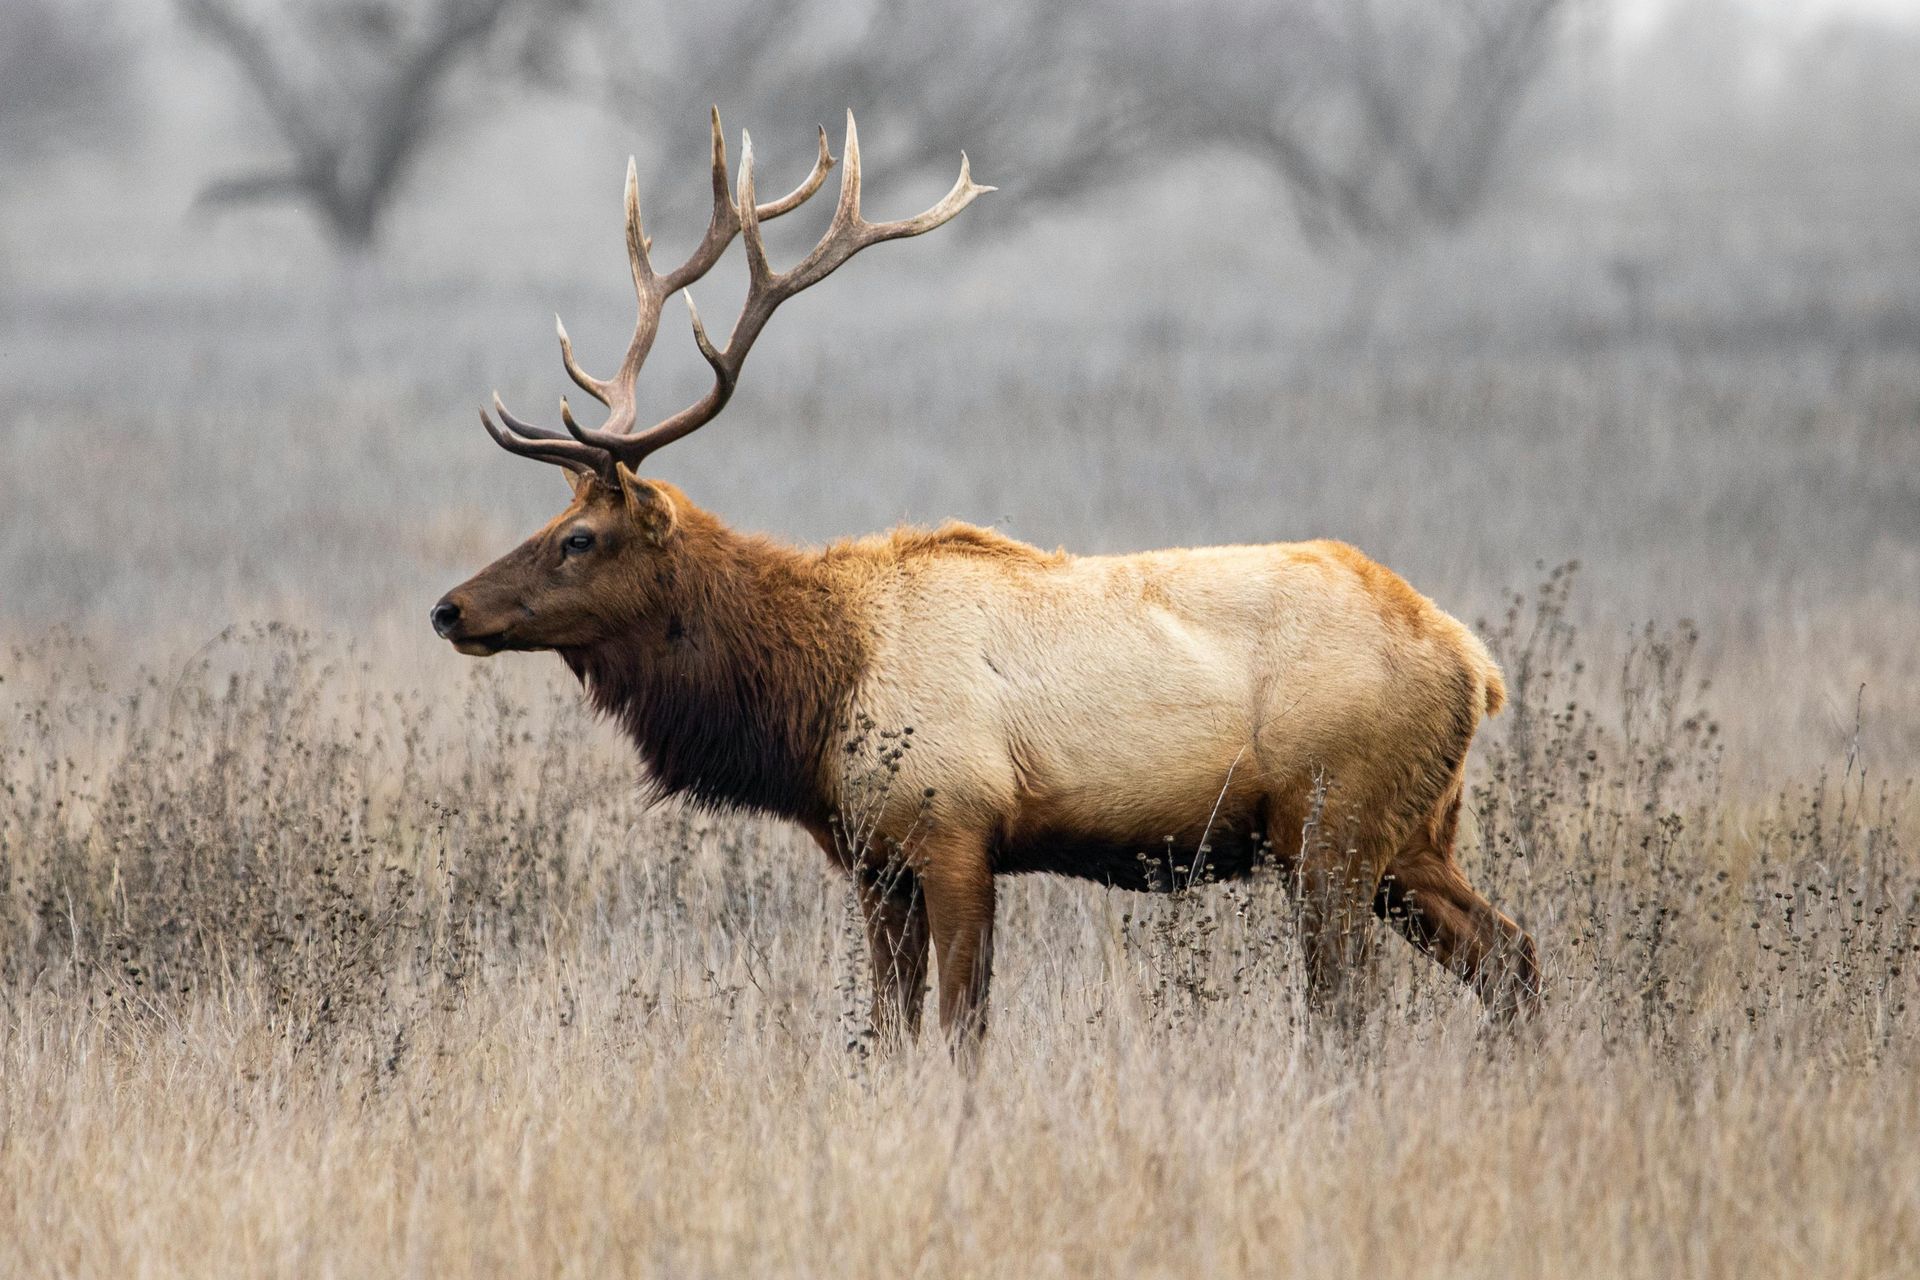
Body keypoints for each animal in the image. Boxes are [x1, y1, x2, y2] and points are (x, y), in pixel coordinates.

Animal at [432, 109, 1542, 1057]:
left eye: (579, 537)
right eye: (550, 523)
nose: (449, 607)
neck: (814, 695)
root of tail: (1474, 663)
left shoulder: (954, 825)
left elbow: (962, 1030)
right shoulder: (874, 860)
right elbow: (887, 1034)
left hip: (1333, 824)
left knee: (1350, 1007)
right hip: (1413, 836)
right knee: (1513, 954)